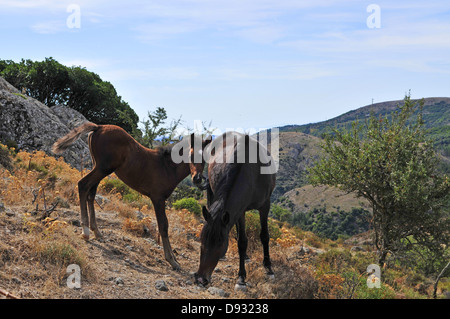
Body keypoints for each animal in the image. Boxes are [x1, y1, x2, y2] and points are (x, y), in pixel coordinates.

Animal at [52, 122, 211, 270]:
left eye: (204, 158)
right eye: (191, 155)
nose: (197, 179)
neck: (167, 167)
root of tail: (99, 126)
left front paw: (174, 258)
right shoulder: (158, 198)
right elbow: (163, 226)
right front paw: (172, 260)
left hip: (97, 166)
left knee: (91, 194)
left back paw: (97, 232)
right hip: (103, 168)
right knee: (83, 185)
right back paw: (85, 232)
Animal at [189, 132, 276, 290]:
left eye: (220, 243)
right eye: (201, 239)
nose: (201, 279)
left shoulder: (265, 206)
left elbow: (264, 236)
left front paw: (268, 268)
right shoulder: (239, 210)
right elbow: (242, 241)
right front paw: (241, 278)